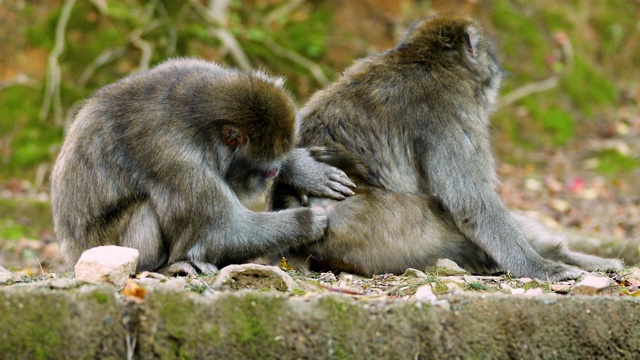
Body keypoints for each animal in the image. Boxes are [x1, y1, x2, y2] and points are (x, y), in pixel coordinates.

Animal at [52, 57, 358, 274]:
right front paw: (305, 221)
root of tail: (71, 253)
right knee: (146, 209)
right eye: (267, 170)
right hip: (105, 244)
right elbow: (220, 233)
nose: (268, 177)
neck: (197, 117)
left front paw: (303, 170)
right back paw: (163, 267)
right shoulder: (175, 155)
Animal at [272, 15, 624, 280]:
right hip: (390, 232)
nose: (499, 71)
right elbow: (473, 204)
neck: (426, 58)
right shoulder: (452, 111)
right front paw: (538, 267)